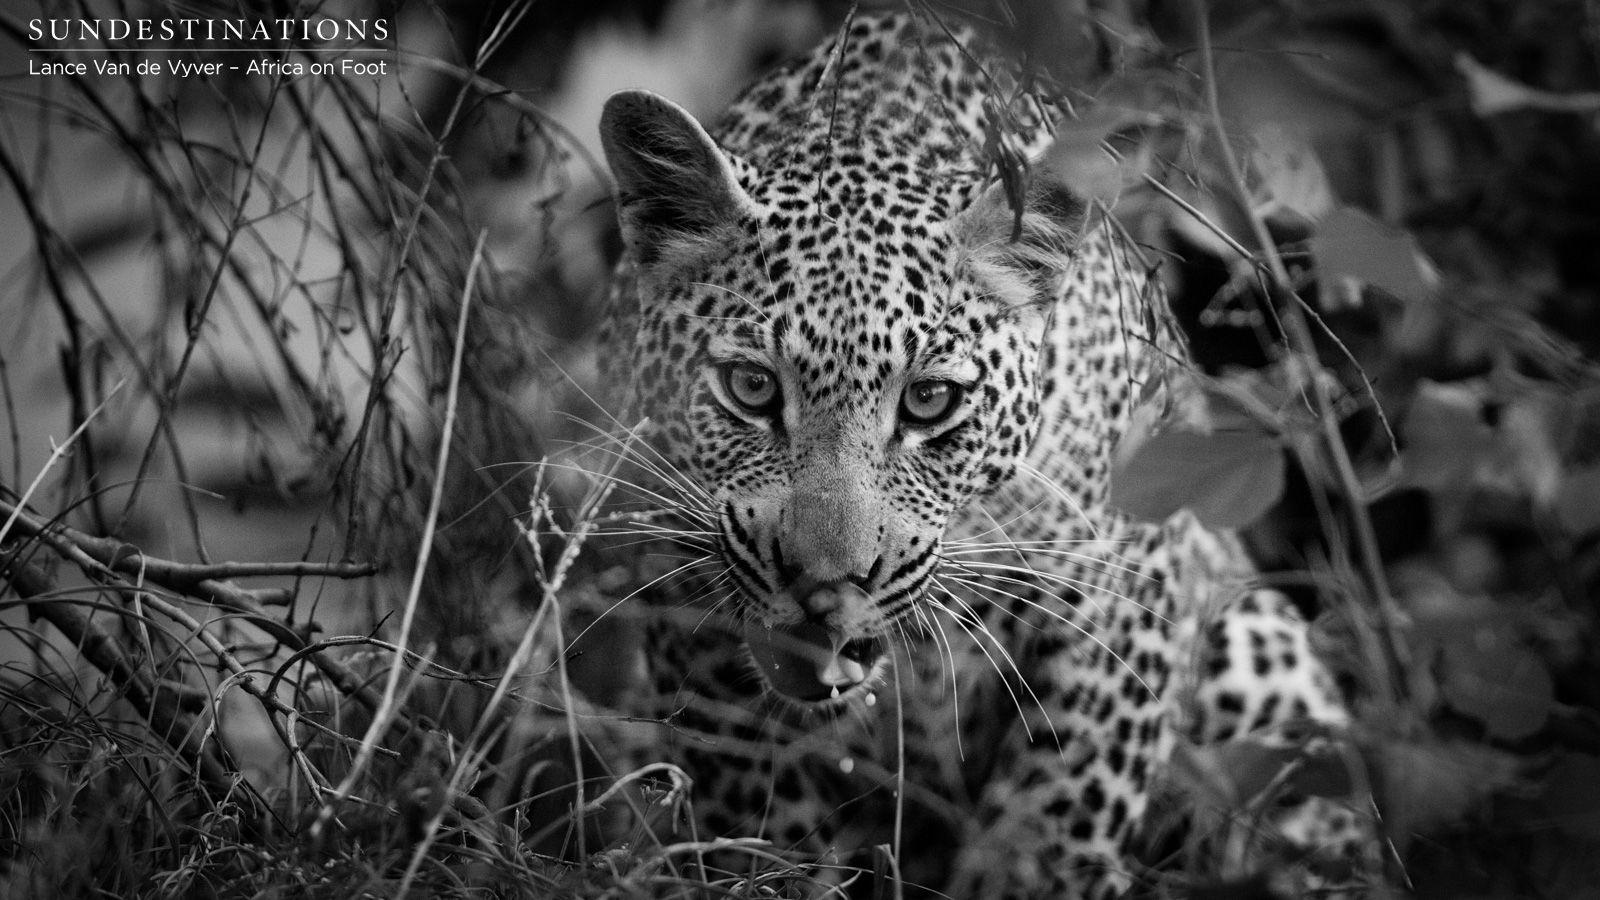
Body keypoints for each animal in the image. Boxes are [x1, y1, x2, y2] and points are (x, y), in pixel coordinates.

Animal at [582, 10, 1375, 899]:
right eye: (752, 387)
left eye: (930, 401)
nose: (822, 586)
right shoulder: (682, 590)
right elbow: (744, 808)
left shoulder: (1121, 593)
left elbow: (1058, 821)